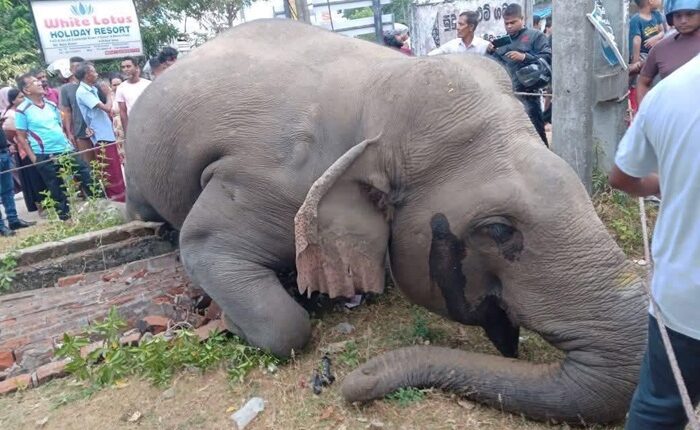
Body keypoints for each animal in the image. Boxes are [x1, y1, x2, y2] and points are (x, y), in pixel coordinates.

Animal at [125, 19, 647, 424]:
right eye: (499, 230)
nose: (351, 379)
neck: (380, 92)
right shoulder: (269, 179)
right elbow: (210, 252)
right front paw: (231, 323)